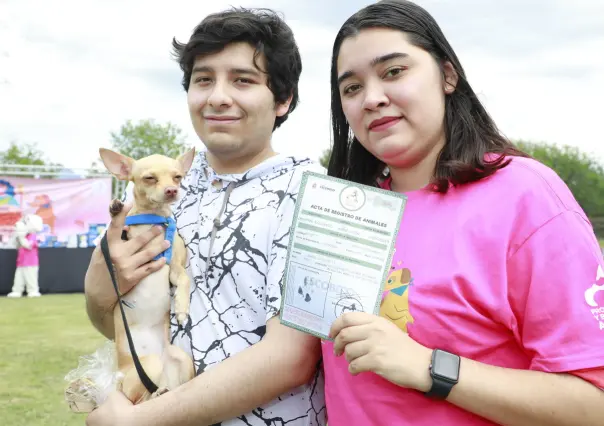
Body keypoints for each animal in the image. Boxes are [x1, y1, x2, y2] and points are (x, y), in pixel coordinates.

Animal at [97, 148, 196, 404]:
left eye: (178, 177)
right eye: (149, 178)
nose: (172, 190)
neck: (154, 219)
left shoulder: (174, 267)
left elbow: (184, 280)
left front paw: (181, 309)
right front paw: (115, 208)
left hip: (182, 360)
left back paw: (164, 391)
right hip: (147, 368)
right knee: (140, 400)